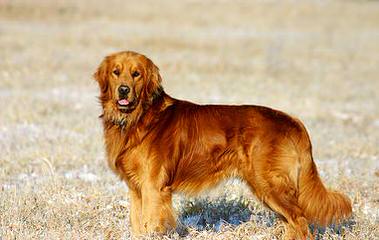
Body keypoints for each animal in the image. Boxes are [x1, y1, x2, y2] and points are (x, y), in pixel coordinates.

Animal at [94, 50, 354, 238]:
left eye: (136, 74)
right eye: (116, 72)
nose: (123, 90)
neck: (139, 118)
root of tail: (291, 120)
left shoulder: (153, 187)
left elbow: (151, 224)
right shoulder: (136, 188)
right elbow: (138, 223)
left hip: (269, 183)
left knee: (299, 220)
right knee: (292, 221)